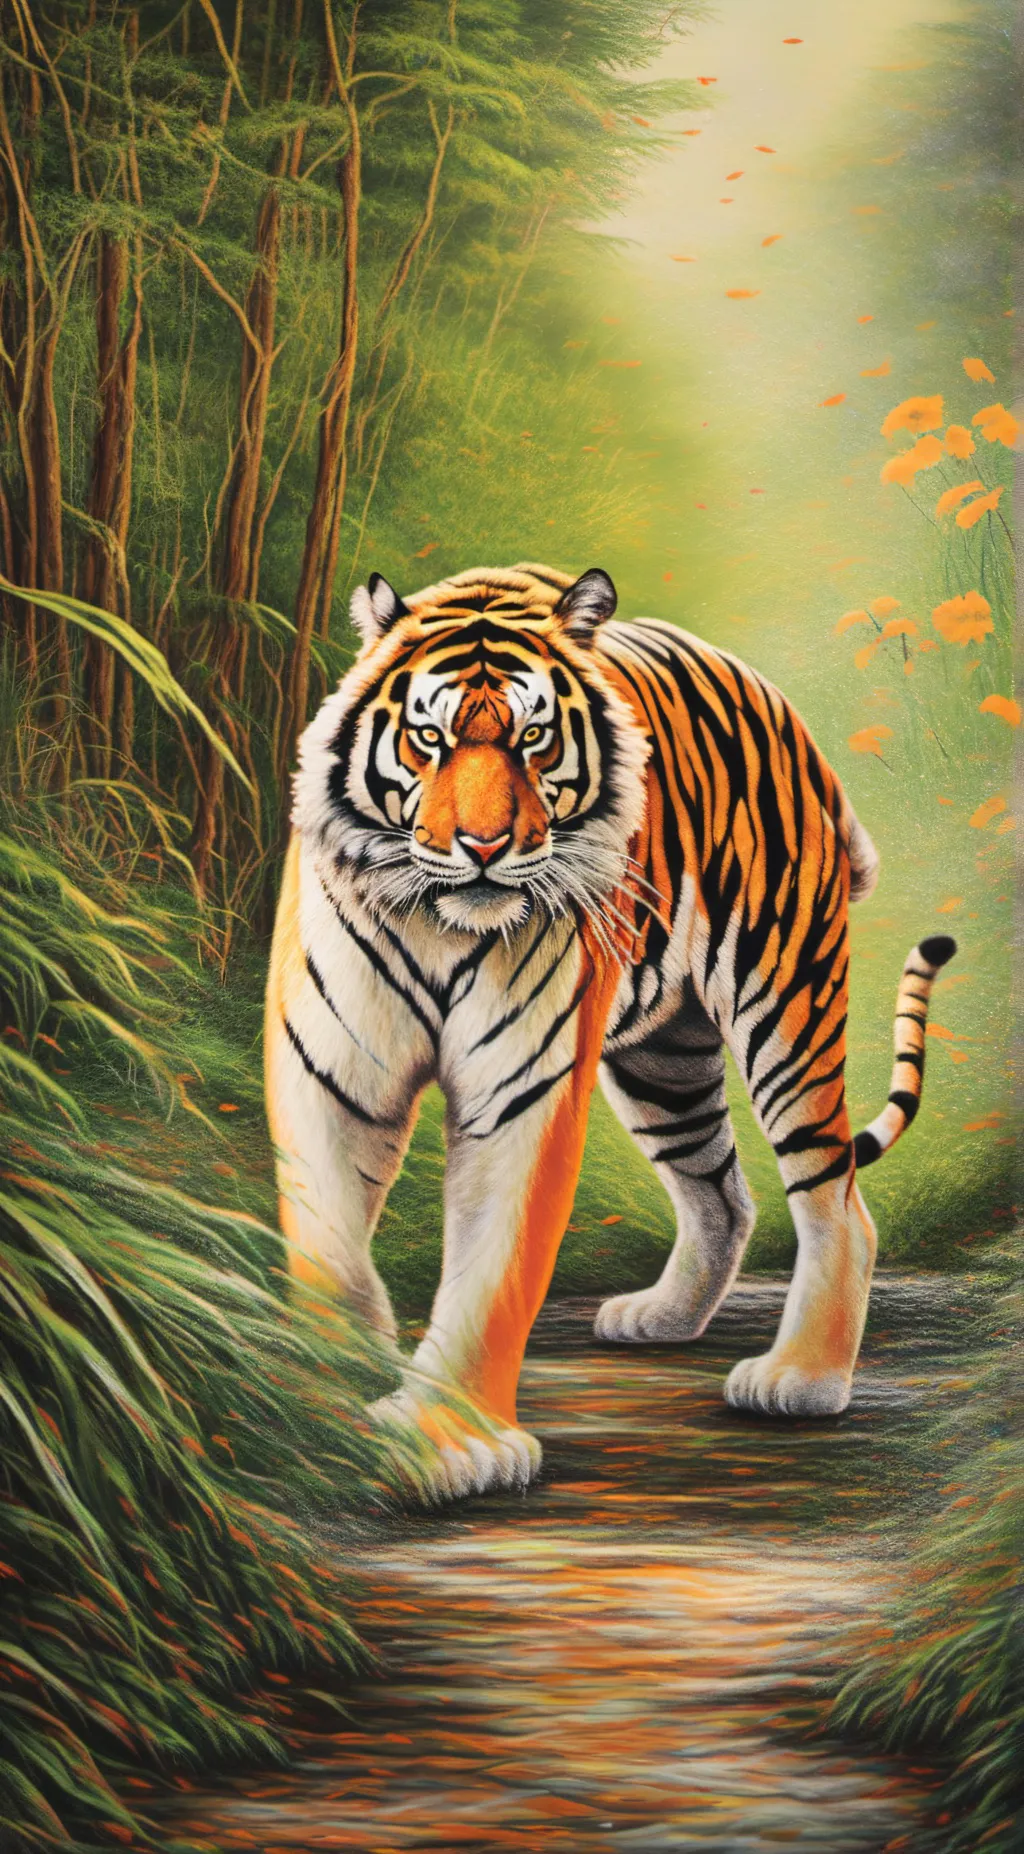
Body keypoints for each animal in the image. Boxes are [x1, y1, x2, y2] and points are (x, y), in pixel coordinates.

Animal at [266, 562, 954, 1499]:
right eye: (428, 740)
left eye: (533, 739)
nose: (483, 846)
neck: (438, 924)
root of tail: (772, 699)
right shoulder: (328, 1071)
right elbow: (327, 1249)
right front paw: (330, 1395)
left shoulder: (520, 1089)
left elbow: (494, 1267)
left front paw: (450, 1442)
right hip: (663, 1058)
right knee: (721, 1193)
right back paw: (665, 1316)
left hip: (784, 1000)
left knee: (834, 1197)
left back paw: (803, 1377)